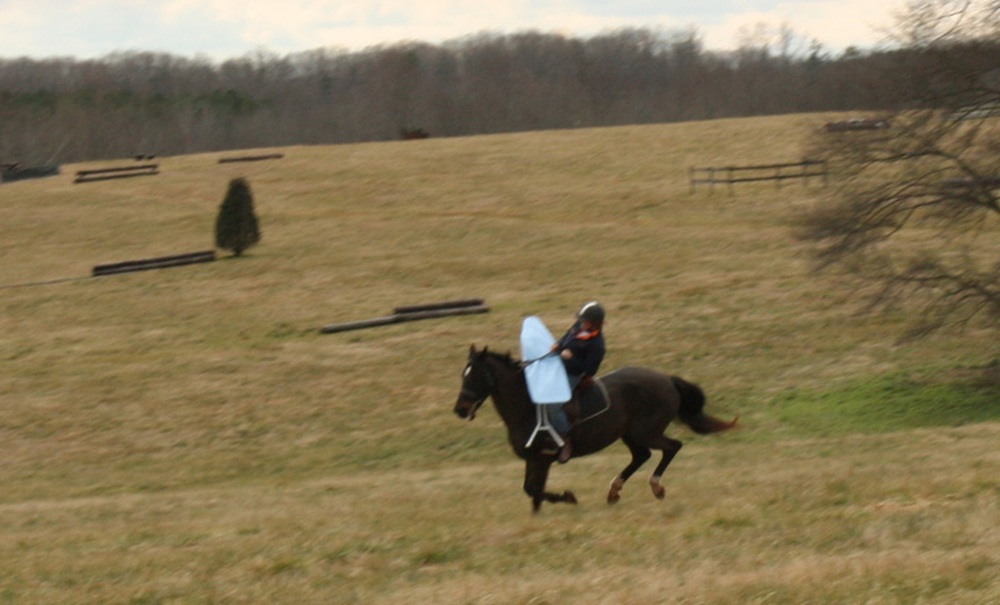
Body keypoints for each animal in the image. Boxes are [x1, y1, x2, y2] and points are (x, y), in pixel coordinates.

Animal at [454, 346, 736, 512]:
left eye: (475, 375)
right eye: (463, 374)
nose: (460, 409)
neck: (527, 406)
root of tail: (666, 379)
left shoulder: (543, 458)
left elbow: (534, 489)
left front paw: (568, 497)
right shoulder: (534, 458)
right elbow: (531, 490)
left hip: (647, 432)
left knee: (671, 447)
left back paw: (656, 487)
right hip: (630, 435)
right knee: (641, 456)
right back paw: (614, 491)